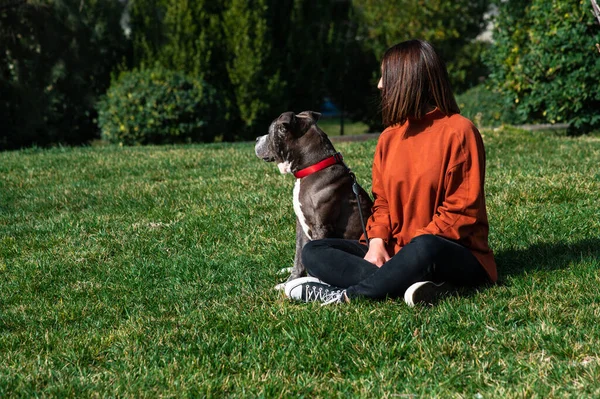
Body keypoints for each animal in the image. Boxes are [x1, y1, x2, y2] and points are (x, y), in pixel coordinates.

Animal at [253, 111, 370, 290]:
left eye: (270, 130)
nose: (257, 138)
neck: (313, 167)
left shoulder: (321, 227)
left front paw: (309, 284)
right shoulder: (301, 225)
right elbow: (298, 257)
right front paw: (288, 283)